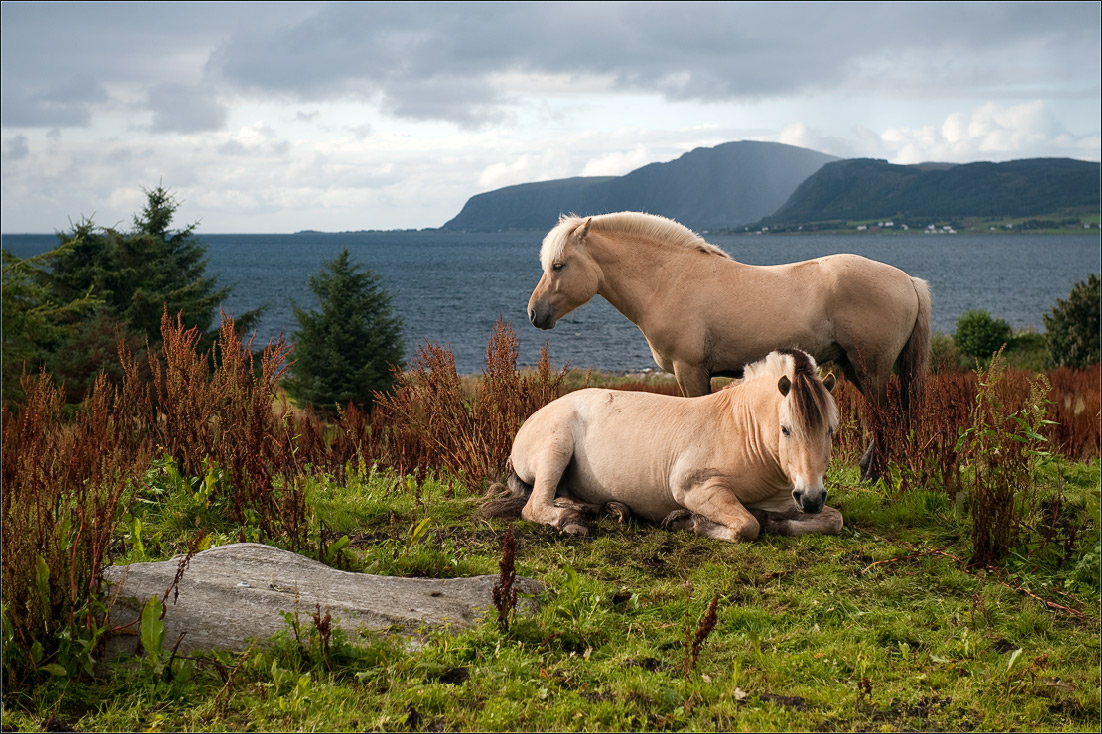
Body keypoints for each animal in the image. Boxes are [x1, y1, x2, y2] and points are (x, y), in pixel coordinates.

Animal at [484, 346, 841, 540]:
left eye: (830, 431)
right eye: (786, 430)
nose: (810, 498)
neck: (742, 431)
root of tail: (536, 413)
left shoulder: (788, 503)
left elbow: (832, 520)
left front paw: (777, 522)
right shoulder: (696, 489)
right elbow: (747, 525)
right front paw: (689, 522)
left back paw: (598, 510)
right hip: (556, 448)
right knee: (536, 505)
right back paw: (572, 522)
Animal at [526, 208, 930, 478]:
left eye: (558, 266)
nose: (534, 313)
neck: (668, 281)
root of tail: (909, 281)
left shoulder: (689, 371)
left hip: (869, 368)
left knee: (886, 418)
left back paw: (876, 475)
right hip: (854, 367)